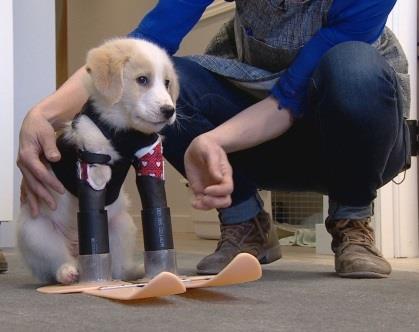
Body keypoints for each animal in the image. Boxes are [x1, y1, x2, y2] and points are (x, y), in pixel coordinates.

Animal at [16, 37, 179, 284]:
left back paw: (136, 271)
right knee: (57, 261)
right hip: (35, 232)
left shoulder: (149, 154)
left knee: (119, 269)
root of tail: (76, 247)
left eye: (167, 82)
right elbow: (98, 170)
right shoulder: (92, 149)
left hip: (122, 225)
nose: (169, 110)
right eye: (142, 79)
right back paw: (68, 272)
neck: (123, 130)